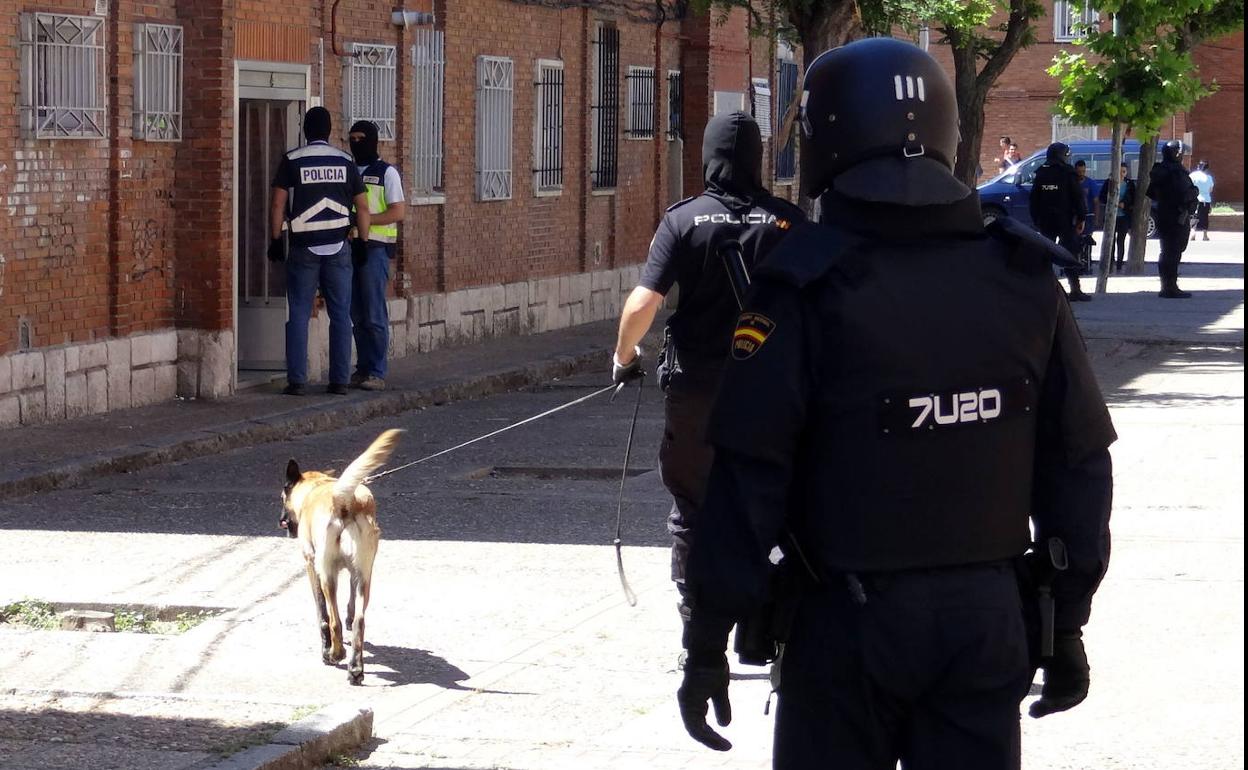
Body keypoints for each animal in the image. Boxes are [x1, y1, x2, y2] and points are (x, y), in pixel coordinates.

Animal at [280, 426, 401, 683]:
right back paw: (355, 668)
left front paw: (326, 648)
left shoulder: (311, 565)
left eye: (282, 497)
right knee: (359, 622)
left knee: (333, 620)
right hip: (365, 576)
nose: (281, 520)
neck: (314, 488)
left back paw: (335, 654)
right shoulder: (355, 573)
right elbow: (351, 609)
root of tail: (344, 498)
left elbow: (322, 614)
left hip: (327, 575)